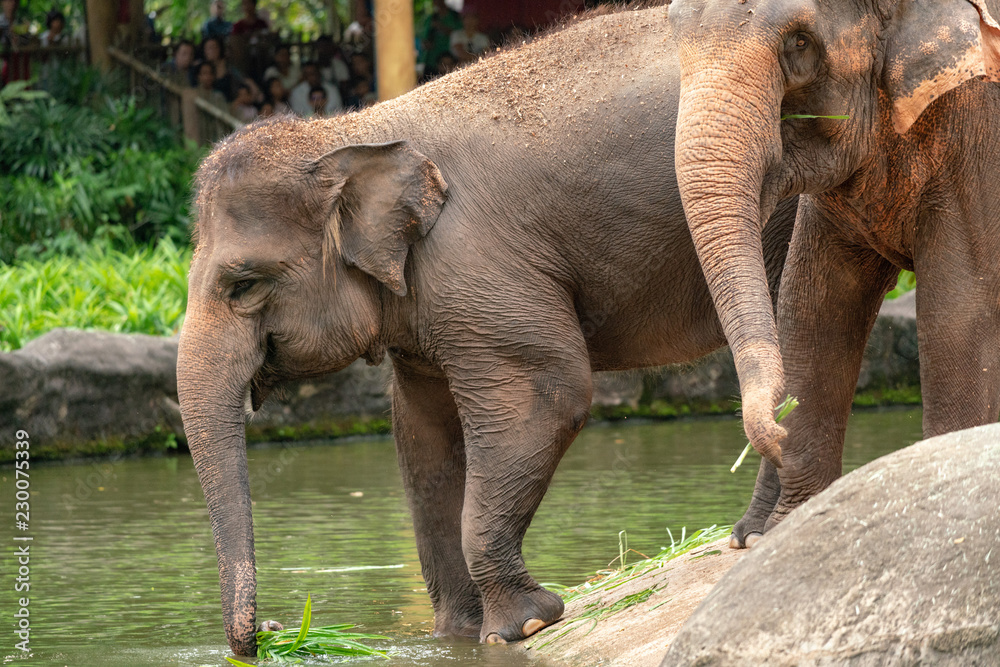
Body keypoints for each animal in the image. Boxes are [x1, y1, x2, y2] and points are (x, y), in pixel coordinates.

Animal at [176, 4, 799, 657]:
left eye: (243, 285)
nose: (272, 628)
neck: (354, 131)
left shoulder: (476, 268)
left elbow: (547, 396)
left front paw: (523, 624)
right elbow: (422, 436)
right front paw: (459, 632)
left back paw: (758, 535)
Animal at [666, 0, 1000, 548]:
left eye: (799, 42)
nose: (774, 433)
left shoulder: (977, 126)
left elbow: (959, 311)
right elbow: (812, 309)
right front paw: (783, 531)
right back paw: (747, 536)